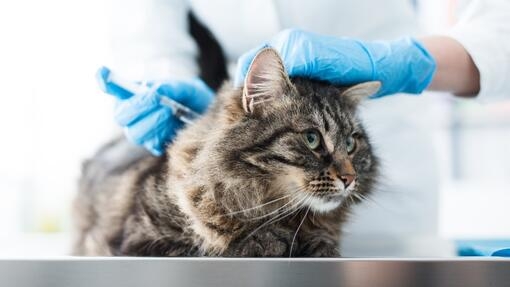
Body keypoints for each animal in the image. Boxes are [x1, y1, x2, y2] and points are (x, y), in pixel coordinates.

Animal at [73, 48, 380, 258]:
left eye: (351, 144)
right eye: (312, 139)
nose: (350, 179)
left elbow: (323, 243)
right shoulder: (138, 241)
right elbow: (215, 247)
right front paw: (267, 240)